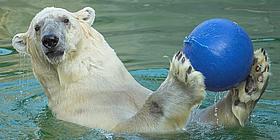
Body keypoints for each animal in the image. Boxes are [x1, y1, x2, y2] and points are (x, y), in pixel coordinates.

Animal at [11, 6, 272, 133]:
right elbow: (135, 124)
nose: (50, 40)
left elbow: (201, 120)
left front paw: (253, 78)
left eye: (65, 20)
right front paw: (180, 83)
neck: (97, 86)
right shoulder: (86, 117)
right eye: (37, 27)